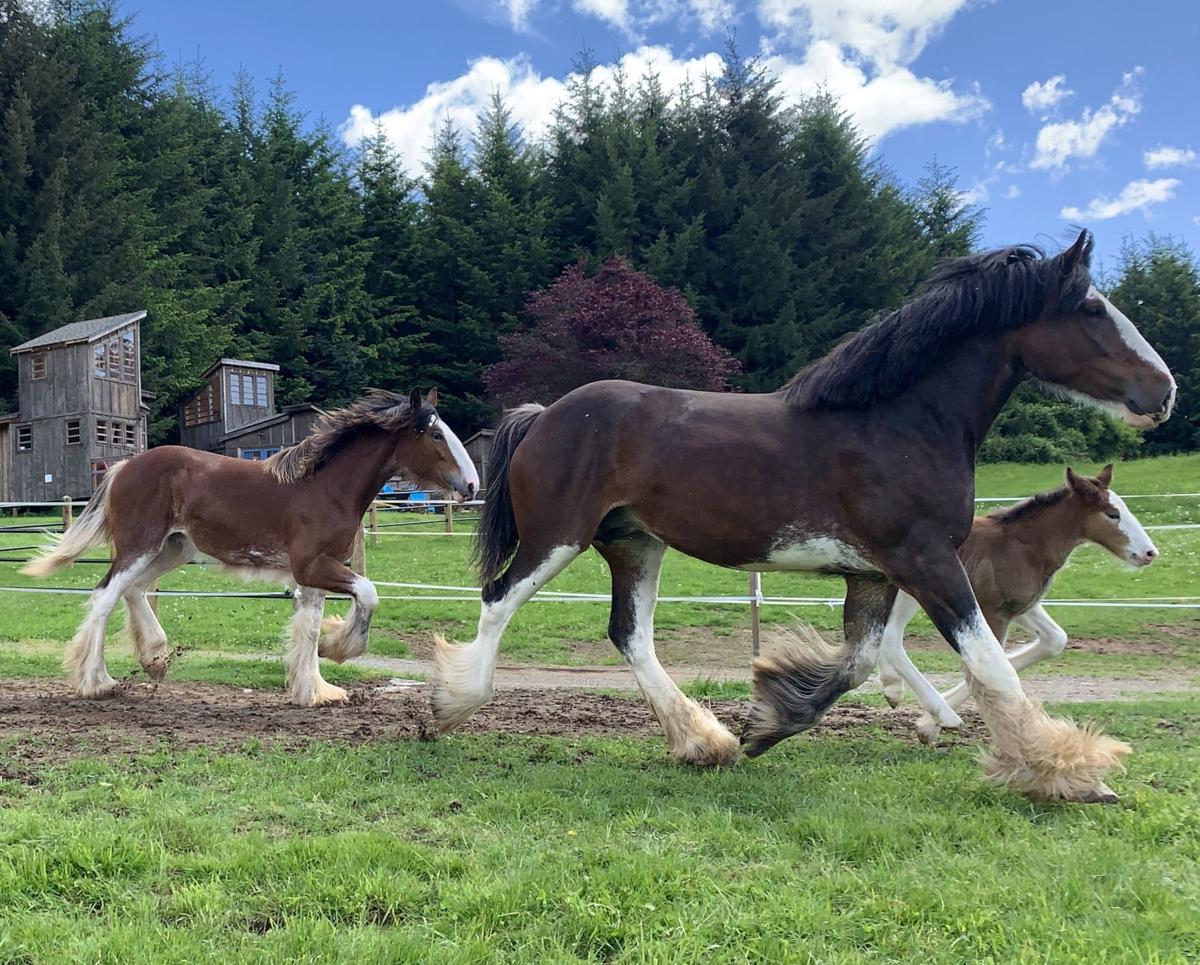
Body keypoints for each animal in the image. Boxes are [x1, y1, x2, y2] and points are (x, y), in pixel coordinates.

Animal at [878, 463, 1156, 748]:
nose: (1149, 553)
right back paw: (929, 706)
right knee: (890, 639)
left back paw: (894, 686)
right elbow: (985, 667)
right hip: (915, 593)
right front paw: (928, 726)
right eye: (1113, 514)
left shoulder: (1021, 606)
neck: (1022, 545)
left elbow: (1053, 640)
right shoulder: (992, 611)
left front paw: (927, 721)